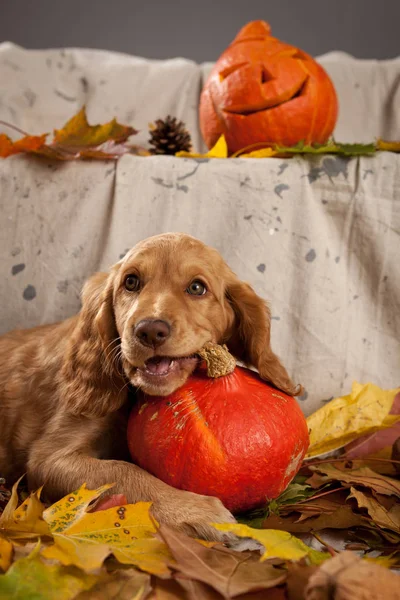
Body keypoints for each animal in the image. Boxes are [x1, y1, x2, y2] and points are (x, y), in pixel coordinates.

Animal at [0, 233, 300, 540]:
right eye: (131, 282)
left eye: (197, 287)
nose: (150, 331)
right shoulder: (49, 457)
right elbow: (122, 472)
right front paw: (197, 510)